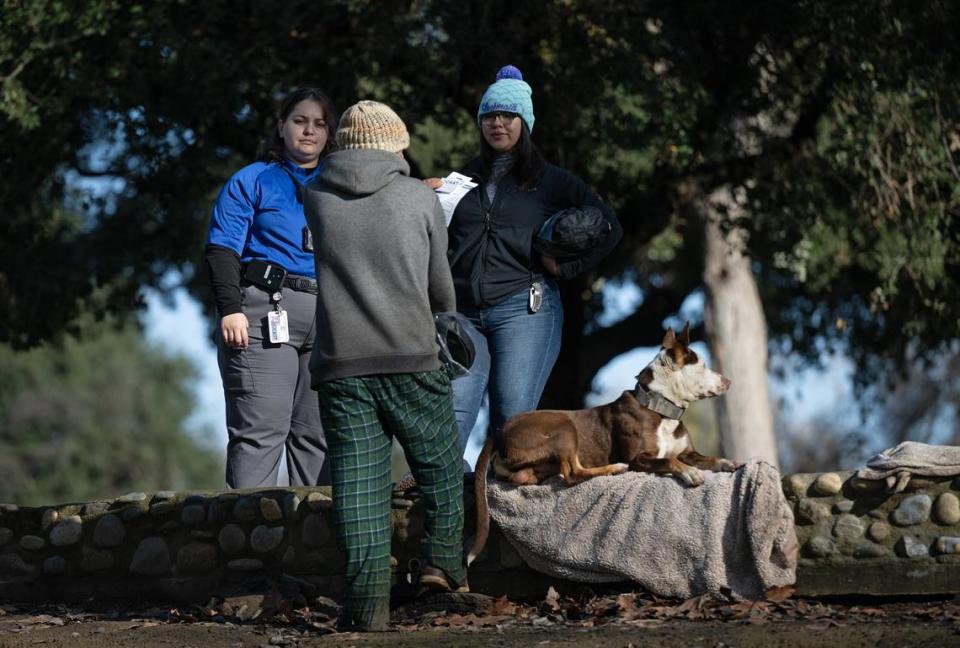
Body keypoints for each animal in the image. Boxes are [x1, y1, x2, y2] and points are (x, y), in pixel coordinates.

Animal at [472, 322, 744, 560]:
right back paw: (614, 468)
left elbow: (705, 458)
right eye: (703, 365)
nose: (729, 381)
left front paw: (728, 463)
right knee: (572, 473)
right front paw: (690, 473)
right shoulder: (639, 459)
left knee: (531, 477)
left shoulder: (687, 452)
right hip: (564, 427)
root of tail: (499, 433)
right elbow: (669, 461)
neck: (660, 409)